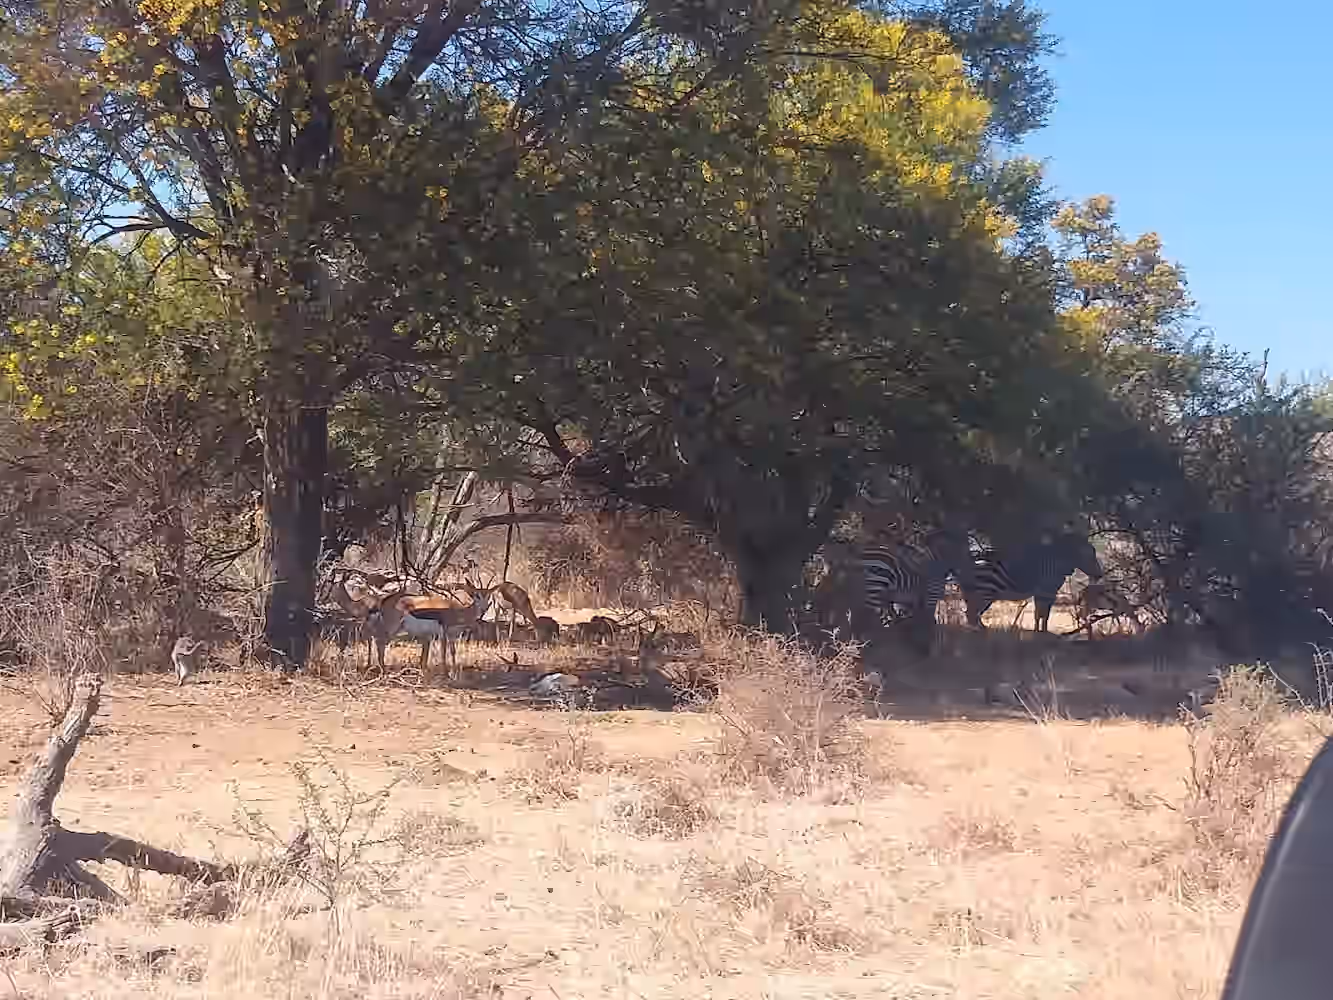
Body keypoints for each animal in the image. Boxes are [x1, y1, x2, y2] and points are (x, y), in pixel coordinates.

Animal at [963, 532, 1103, 633]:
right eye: (1088, 556)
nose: (1099, 575)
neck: (1057, 564)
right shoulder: (1048, 591)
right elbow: (1044, 615)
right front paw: (1043, 633)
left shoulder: (1041, 593)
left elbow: (1038, 614)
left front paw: (1038, 632)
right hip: (984, 592)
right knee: (972, 614)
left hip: (980, 594)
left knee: (972, 614)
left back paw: (980, 632)